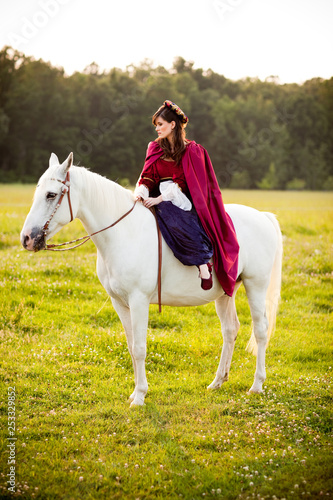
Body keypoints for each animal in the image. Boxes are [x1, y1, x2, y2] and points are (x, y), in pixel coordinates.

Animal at [20, 152, 282, 406]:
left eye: (51, 194)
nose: (27, 238)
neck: (123, 232)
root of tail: (263, 217)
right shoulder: (119, 302)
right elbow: (130, 345)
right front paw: (134, 393)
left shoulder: (139, 300)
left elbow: (139, 348)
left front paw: (140, 396)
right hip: (226, 292)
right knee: (230, 329)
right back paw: (217, 381)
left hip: (256, 285)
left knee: (260, 330)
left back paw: (257, 385)